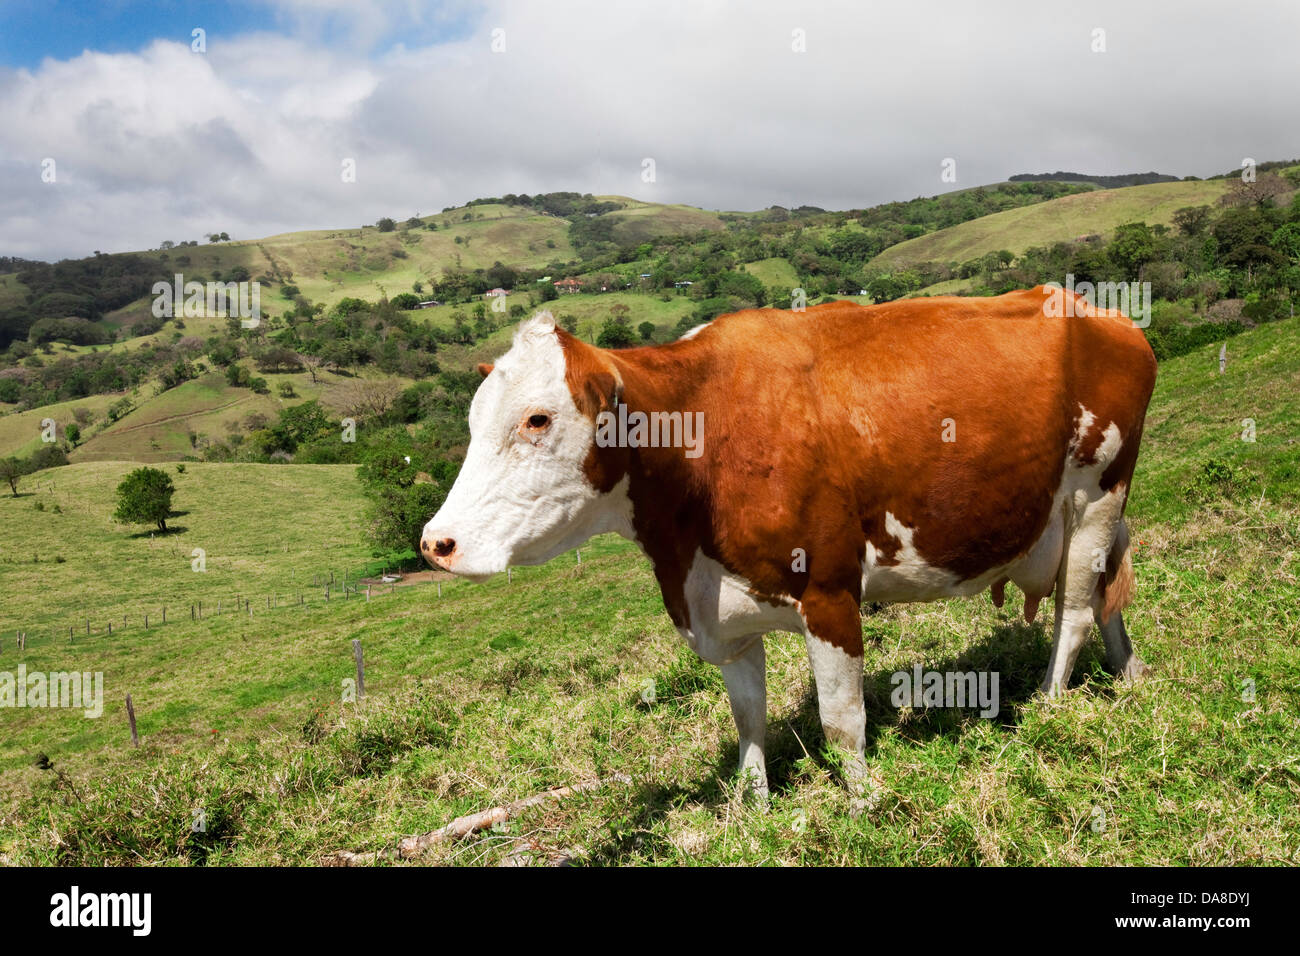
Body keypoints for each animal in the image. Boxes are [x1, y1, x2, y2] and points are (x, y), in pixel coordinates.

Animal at [423, 287, 1159, 806]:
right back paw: (1129, 673)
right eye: (473, 421)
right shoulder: (723, 613)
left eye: (537, 419)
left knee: (1075, 611)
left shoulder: (829, 591)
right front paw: (752, 810)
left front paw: (864, 807)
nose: (436, 543)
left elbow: (841, 721)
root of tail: (1098, 311)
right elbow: (749, 719)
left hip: (1098, 492)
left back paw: (1050, 708)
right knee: (1106, 594)